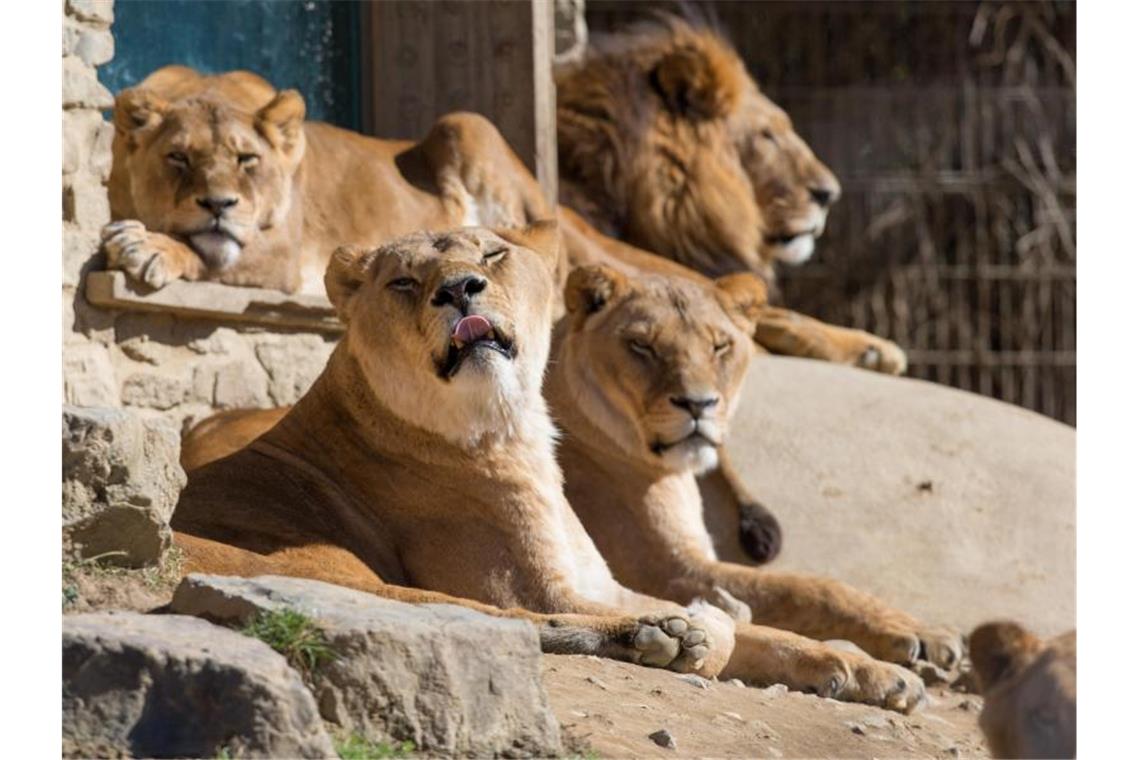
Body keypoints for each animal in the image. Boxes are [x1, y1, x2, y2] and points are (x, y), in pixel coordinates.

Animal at [168, 219, 738, 679]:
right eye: (403, 281)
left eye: (492, 255)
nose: (460, 288)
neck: (511, 425)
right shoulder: (533, 588)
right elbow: (723, 633)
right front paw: (704, 620)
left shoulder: (602, 583)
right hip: (318, 571)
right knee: (499, 619)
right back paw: (659, 634)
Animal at [540, 263, 962, 715]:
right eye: (641, 345)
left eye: (720, 346)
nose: (698, 404)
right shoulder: (671, 570)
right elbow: (808, 589)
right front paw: (916, 635)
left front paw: (884, 667)